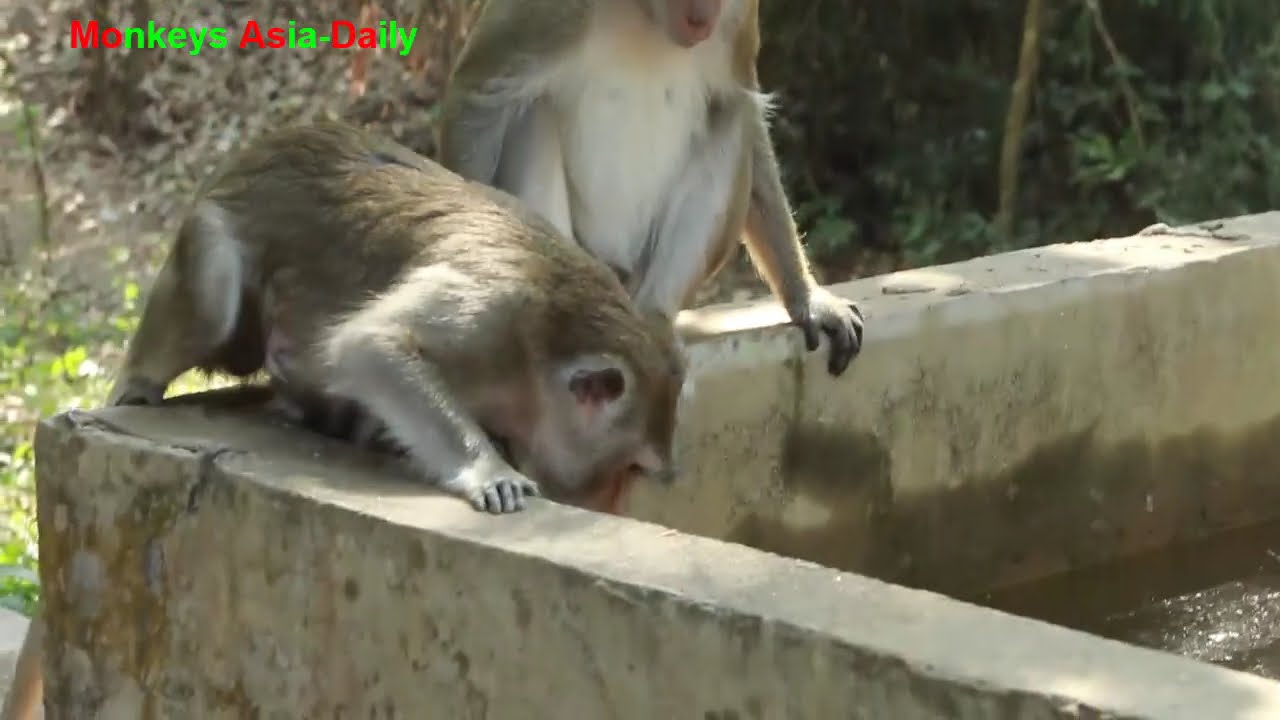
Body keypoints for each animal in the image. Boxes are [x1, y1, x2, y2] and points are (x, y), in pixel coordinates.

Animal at [0, 121, 687, 720]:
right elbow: (373, 345)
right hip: (206, 255)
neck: (543, 348)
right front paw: (488, 471)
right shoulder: (493, 311)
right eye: (628, 467)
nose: (610, 506)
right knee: (218, 295)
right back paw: (144, 385)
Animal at [437, 0, 864, 378]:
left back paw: (653, 321)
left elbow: (738, 101)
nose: (702, 17)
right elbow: (478, 100)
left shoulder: (739, 14)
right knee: (531, 114)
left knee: (729, 119)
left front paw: (808, 300)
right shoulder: (556, 10)